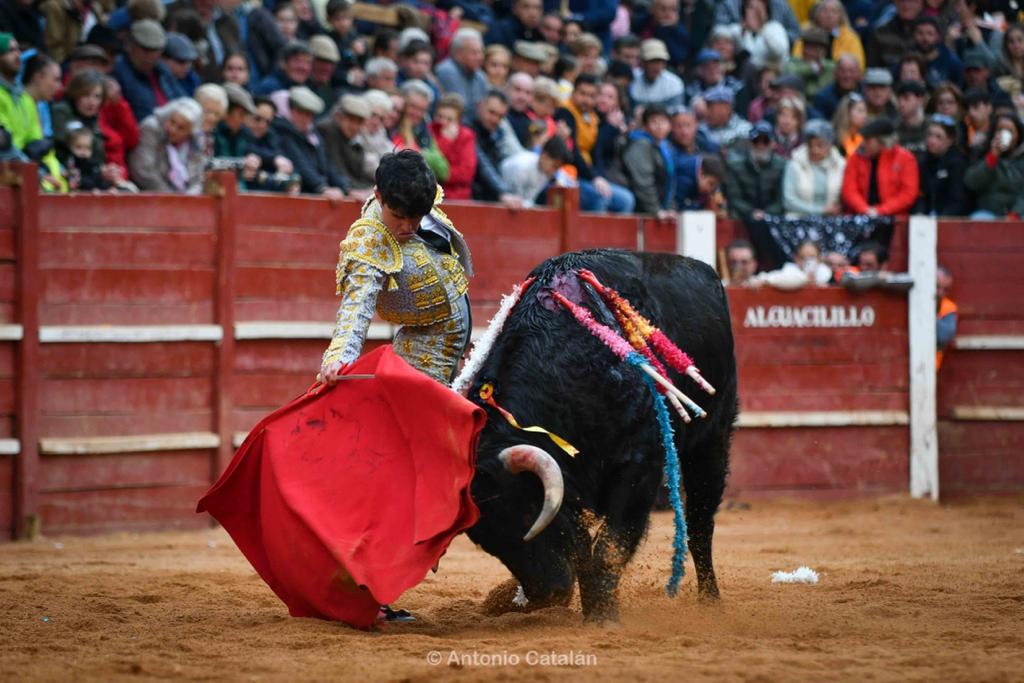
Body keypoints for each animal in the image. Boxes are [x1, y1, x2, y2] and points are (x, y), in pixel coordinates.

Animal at [464, 248, 737, 622]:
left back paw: (710, 600)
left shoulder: (639, 467)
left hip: (712, 441)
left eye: (527, 512)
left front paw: (603, 616)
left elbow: (610, 545)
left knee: (700, 523)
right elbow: (583, 545)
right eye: (486, 542)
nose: (546, 594)